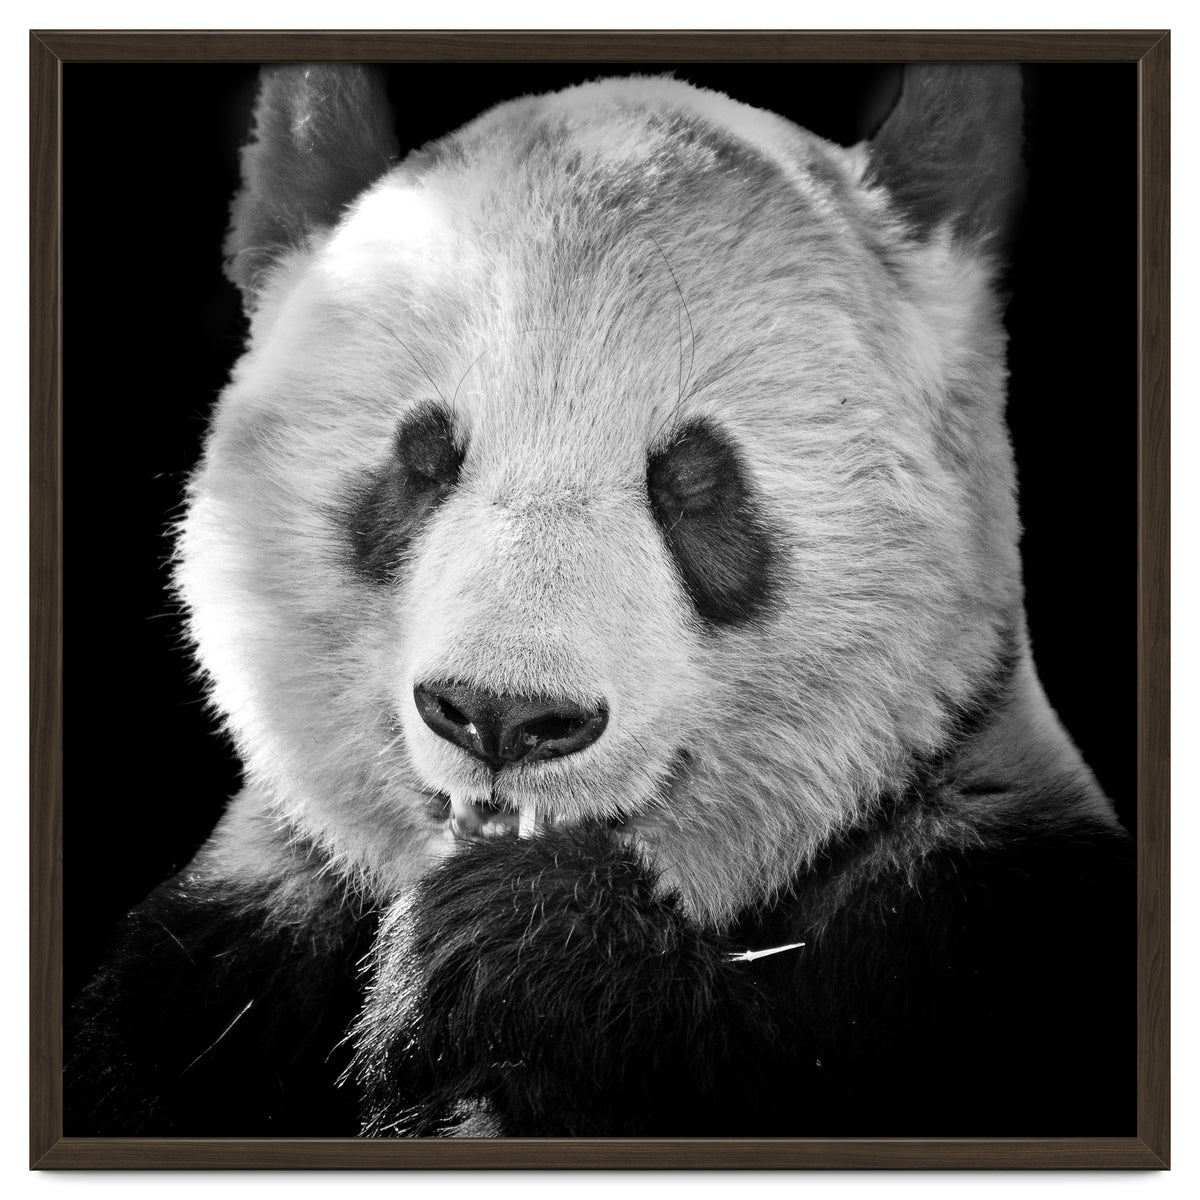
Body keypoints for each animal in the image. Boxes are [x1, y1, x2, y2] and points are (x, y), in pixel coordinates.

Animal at [66, 63, 1134, 1138]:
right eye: (423, 460)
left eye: (694, 482)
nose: (502, 715)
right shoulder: (222, 959)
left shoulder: (982, 914)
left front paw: (520, 950)